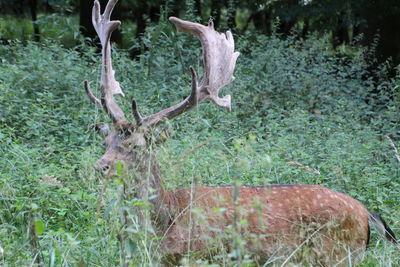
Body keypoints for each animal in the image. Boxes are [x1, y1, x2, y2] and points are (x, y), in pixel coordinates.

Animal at [83, 1, 396, 266]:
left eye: (136, 145)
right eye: (106, 140)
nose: (100, 166)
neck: (163, 223)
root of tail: (366, 213)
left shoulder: (200, 257)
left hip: (337, 255)